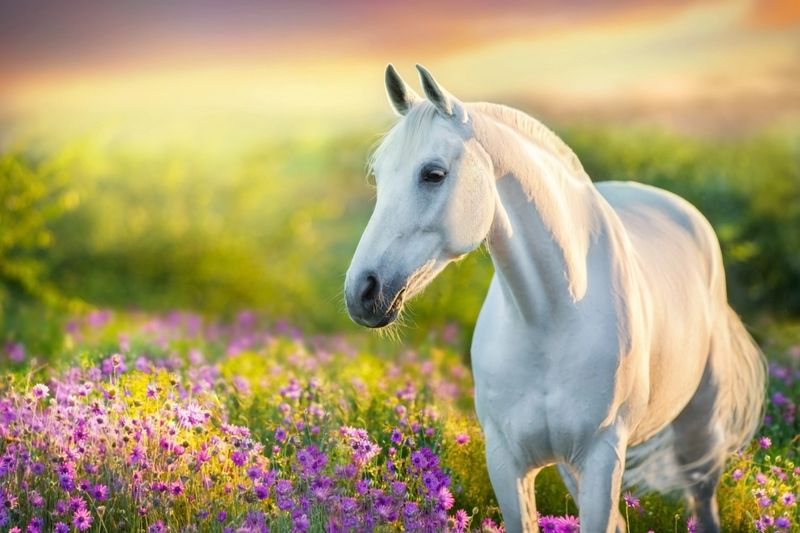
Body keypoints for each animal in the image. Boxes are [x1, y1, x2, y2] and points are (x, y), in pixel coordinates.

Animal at [344, 64, 766, 533]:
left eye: (433, 173)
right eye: (379, 175)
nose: (362, 291)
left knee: (703, 499)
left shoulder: (602, 459)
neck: (549, 318)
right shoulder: (508, 464)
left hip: (698, 429)